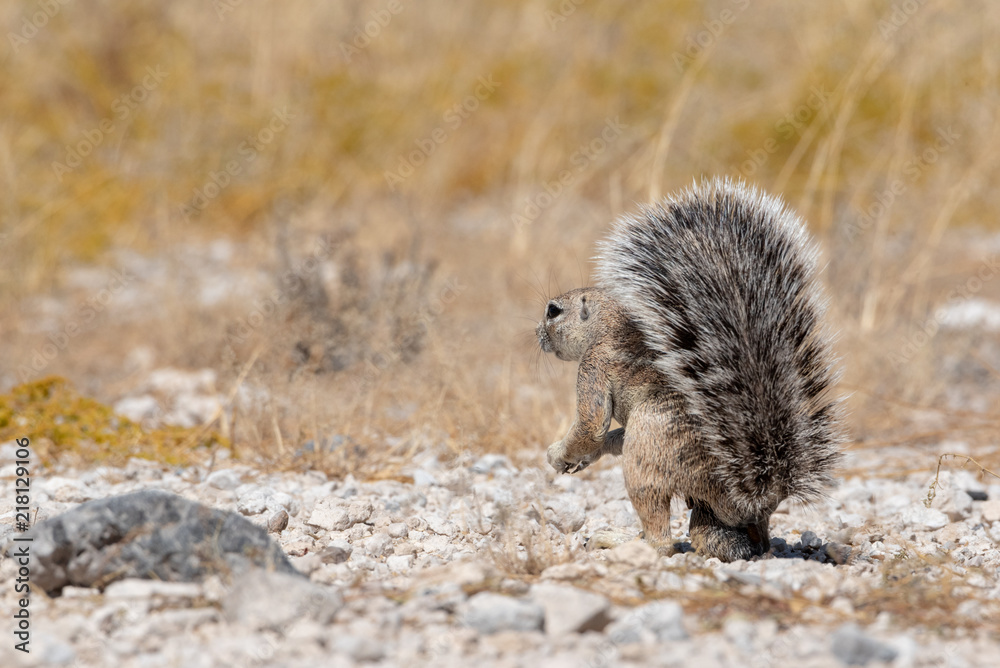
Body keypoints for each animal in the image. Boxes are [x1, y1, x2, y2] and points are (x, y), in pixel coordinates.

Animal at [536, 177, 844, 562]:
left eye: (553, 311)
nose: (537, 333)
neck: (609, 326)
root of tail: (758, 494)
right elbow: (608, 435)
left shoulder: (592, 368)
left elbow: (590, 426)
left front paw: (561, 454)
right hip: (709, 504)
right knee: (728, 536)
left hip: (648, 448)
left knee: (661, 537)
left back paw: (621, 542)